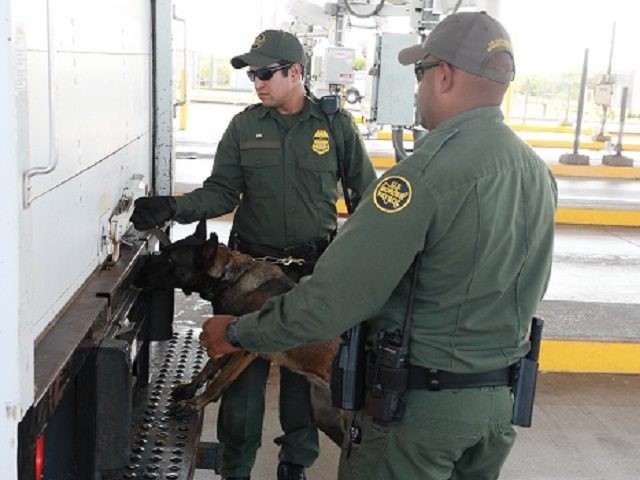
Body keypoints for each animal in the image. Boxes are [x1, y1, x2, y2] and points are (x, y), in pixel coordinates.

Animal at [135, 221, 344, 446]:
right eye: (163, 252)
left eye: (170, 260)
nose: (138, 271)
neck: (227, 277)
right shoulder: (222, 338)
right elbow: (211, 365)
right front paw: (192, 386)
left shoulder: (244, 351)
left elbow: (219, 380)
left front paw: (194, 404)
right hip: (327, 419)